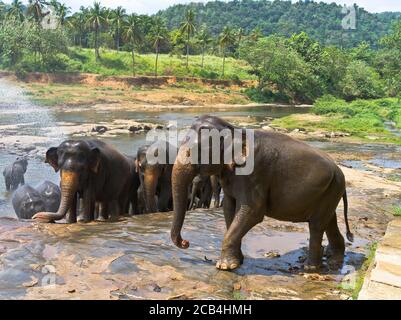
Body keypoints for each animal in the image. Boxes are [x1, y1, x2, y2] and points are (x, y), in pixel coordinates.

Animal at [170, 115, 352, 272]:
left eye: (195, 152)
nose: (185, 242)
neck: (234, 130)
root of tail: (339, 171)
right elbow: (229, 209)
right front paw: (237, 261)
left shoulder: (254, 174)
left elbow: (252, 211)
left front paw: (224, 266)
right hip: (330, 191)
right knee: (329, 221)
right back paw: (334, 261)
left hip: (331, 189)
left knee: (316, 226)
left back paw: (310, 268)